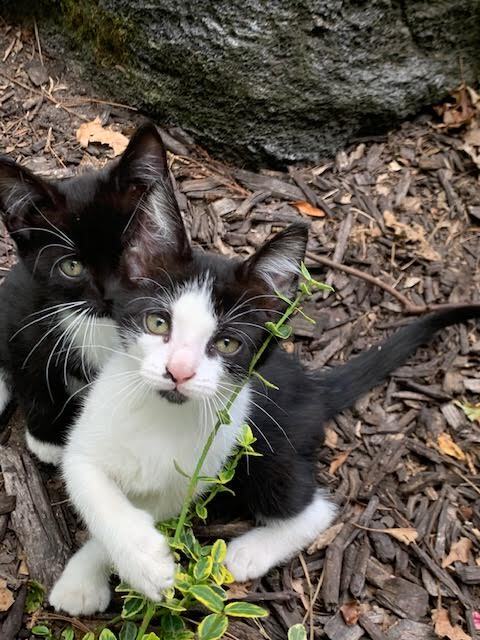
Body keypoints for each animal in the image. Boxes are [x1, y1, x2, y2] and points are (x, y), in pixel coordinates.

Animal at [49, 140, 480, 616]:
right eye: (158, 322)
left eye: (228, 344)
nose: (178, 371)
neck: (159, 417)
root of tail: (311, 384)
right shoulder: (90, 432)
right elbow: (90, 486)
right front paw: (112, 566)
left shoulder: (195, 476)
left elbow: (152, 507)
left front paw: (138, 564)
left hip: (265, 451)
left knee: (316, 507)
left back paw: (247, 552)